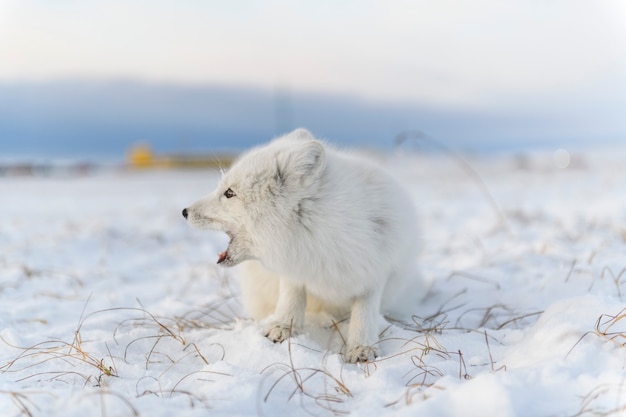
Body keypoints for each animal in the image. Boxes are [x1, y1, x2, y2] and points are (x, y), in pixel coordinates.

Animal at [183, 129, 422, 360]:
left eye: (229, 193)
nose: (184, 211)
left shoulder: (376, 271)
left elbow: (365, 313)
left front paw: (362, 347)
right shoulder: (295, 263)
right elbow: (292, 296)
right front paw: (282, 326)